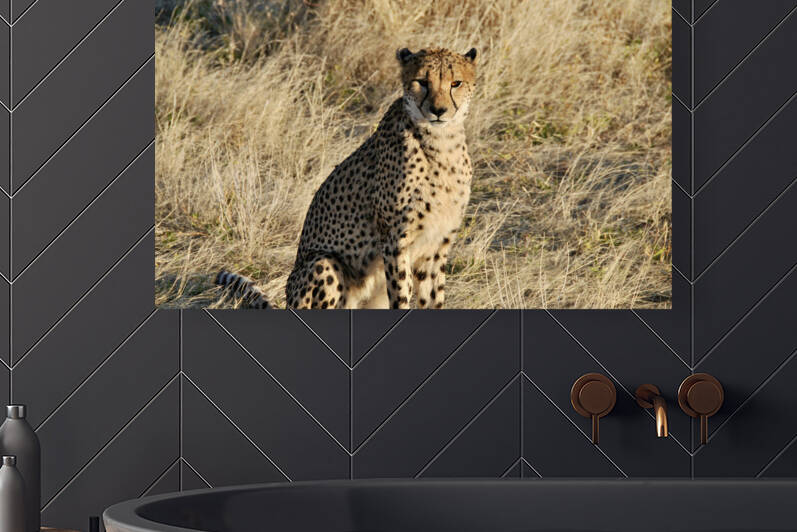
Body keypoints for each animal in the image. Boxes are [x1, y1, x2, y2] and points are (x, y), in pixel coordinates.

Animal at [217, 46, 478, 309]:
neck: (442, 144)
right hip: (323, 262)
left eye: (455, 83)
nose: (438, 110)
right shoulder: (395, 241)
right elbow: (401, 295)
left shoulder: (436, 246)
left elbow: (433, 298)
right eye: (422, 82)